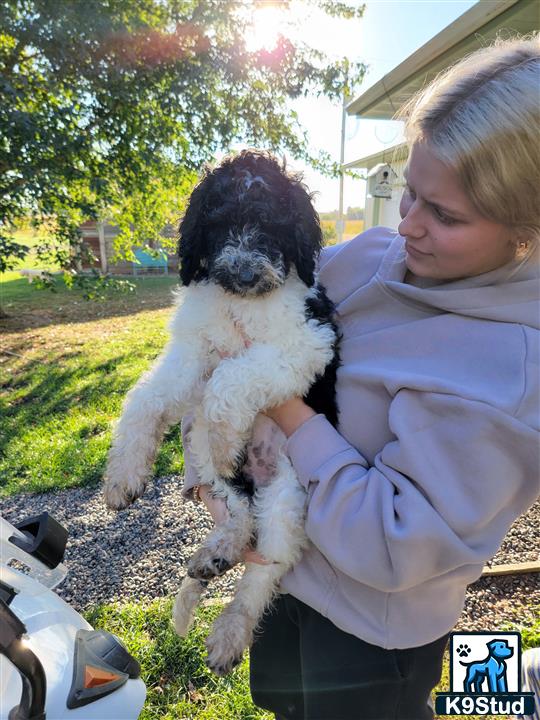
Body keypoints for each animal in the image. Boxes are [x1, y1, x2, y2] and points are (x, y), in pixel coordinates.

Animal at [103, 148, 340, 676]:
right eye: (217, 225)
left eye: (272, 225)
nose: (245, 274)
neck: (243, 303)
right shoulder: (194, 349)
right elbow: (147, 398)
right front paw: (123, 476)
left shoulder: (305, 342)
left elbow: (228, 380)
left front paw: (226, 435)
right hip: (210, 467)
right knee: (238, 514)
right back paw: (217, 552)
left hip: (288, 496)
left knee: (266, 566)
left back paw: (231, 630)